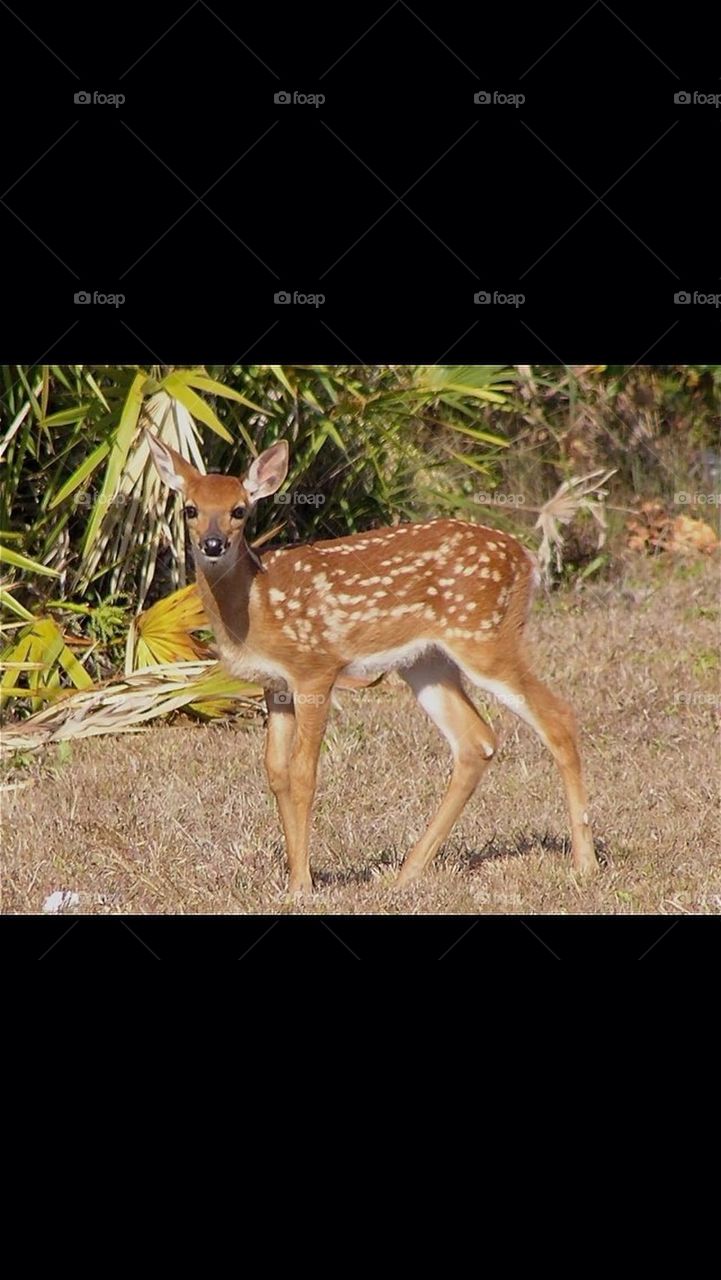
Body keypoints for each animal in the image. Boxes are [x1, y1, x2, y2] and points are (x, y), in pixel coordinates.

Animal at [147, 432, 598, 894]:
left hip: (485, 637)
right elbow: (276, 772)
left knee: (558, 716)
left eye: (239, 510)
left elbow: (303, 773)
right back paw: (407, 873)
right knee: (476, 741)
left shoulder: (316, 668)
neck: (256, 605)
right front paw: (293, 878)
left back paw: (584, 864)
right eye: (190, 509)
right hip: (426, 661)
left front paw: (302, 886)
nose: (212, 544)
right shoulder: (276, 685)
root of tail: (526, 558)